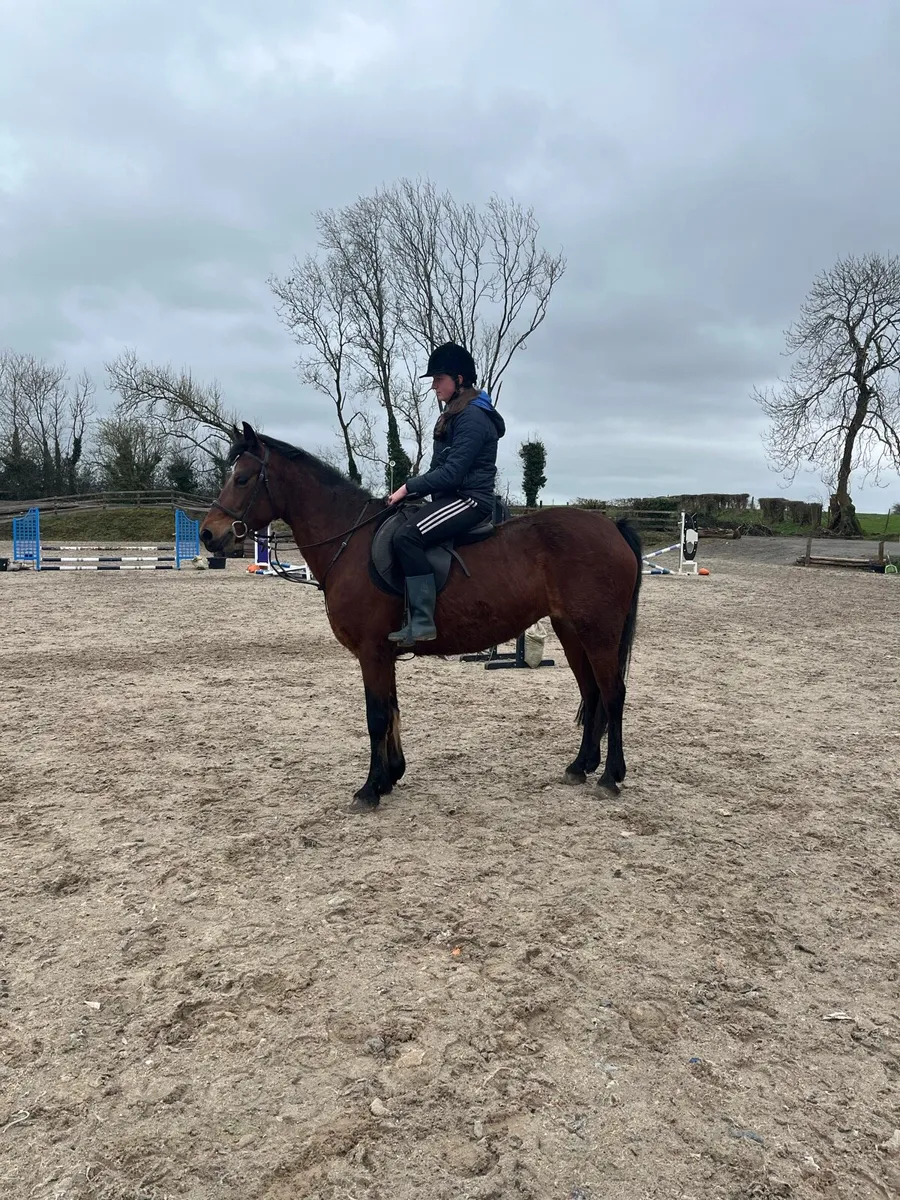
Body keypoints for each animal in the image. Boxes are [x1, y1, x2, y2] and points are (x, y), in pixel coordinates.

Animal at [200, 423, 643, 811]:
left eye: (242, 478)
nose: (207, 534)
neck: (350, 540)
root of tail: (612, 527)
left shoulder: (371, 651)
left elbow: (376, 715)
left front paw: (370, 790)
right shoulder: (383, 652)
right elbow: (392, 709)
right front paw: (390, 776)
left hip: (599, 633)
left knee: (613, 694)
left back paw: (610, 776)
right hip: (572, 632)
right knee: (592, 693)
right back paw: (580, 766)